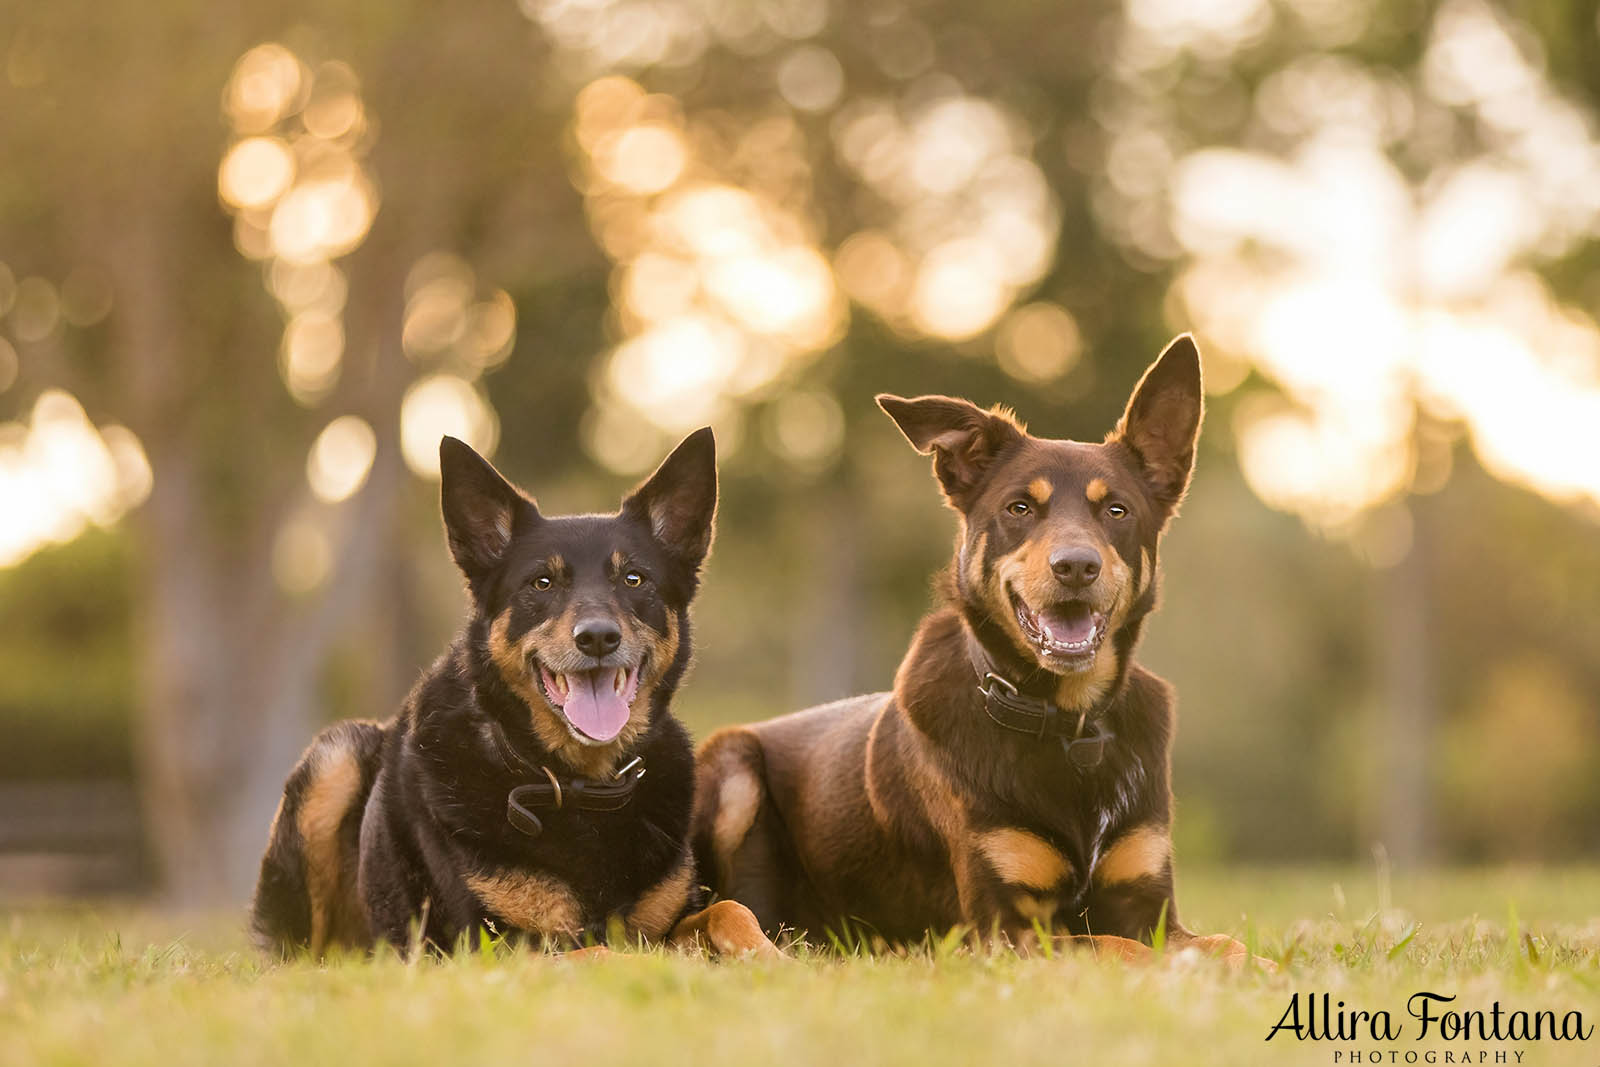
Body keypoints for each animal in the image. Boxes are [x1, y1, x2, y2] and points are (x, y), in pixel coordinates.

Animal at [251, 431, 774, 959]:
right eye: (541, 582)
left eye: (634, 579)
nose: (598, 637)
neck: (577, 784)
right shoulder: (495, 946)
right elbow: (603, 952)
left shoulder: (666, 926)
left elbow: (732, 909)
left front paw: (775, 958)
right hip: (335, 758)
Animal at [700, 335, 1273, 966]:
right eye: (1019, 508)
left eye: (1116, 510)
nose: (1076, 566)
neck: (1068, 724)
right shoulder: (1007, 928)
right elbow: (1118, 946)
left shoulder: (1151, 906)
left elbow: (1219, 944)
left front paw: (1263, 967)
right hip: (733, 769)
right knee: (717, 909)